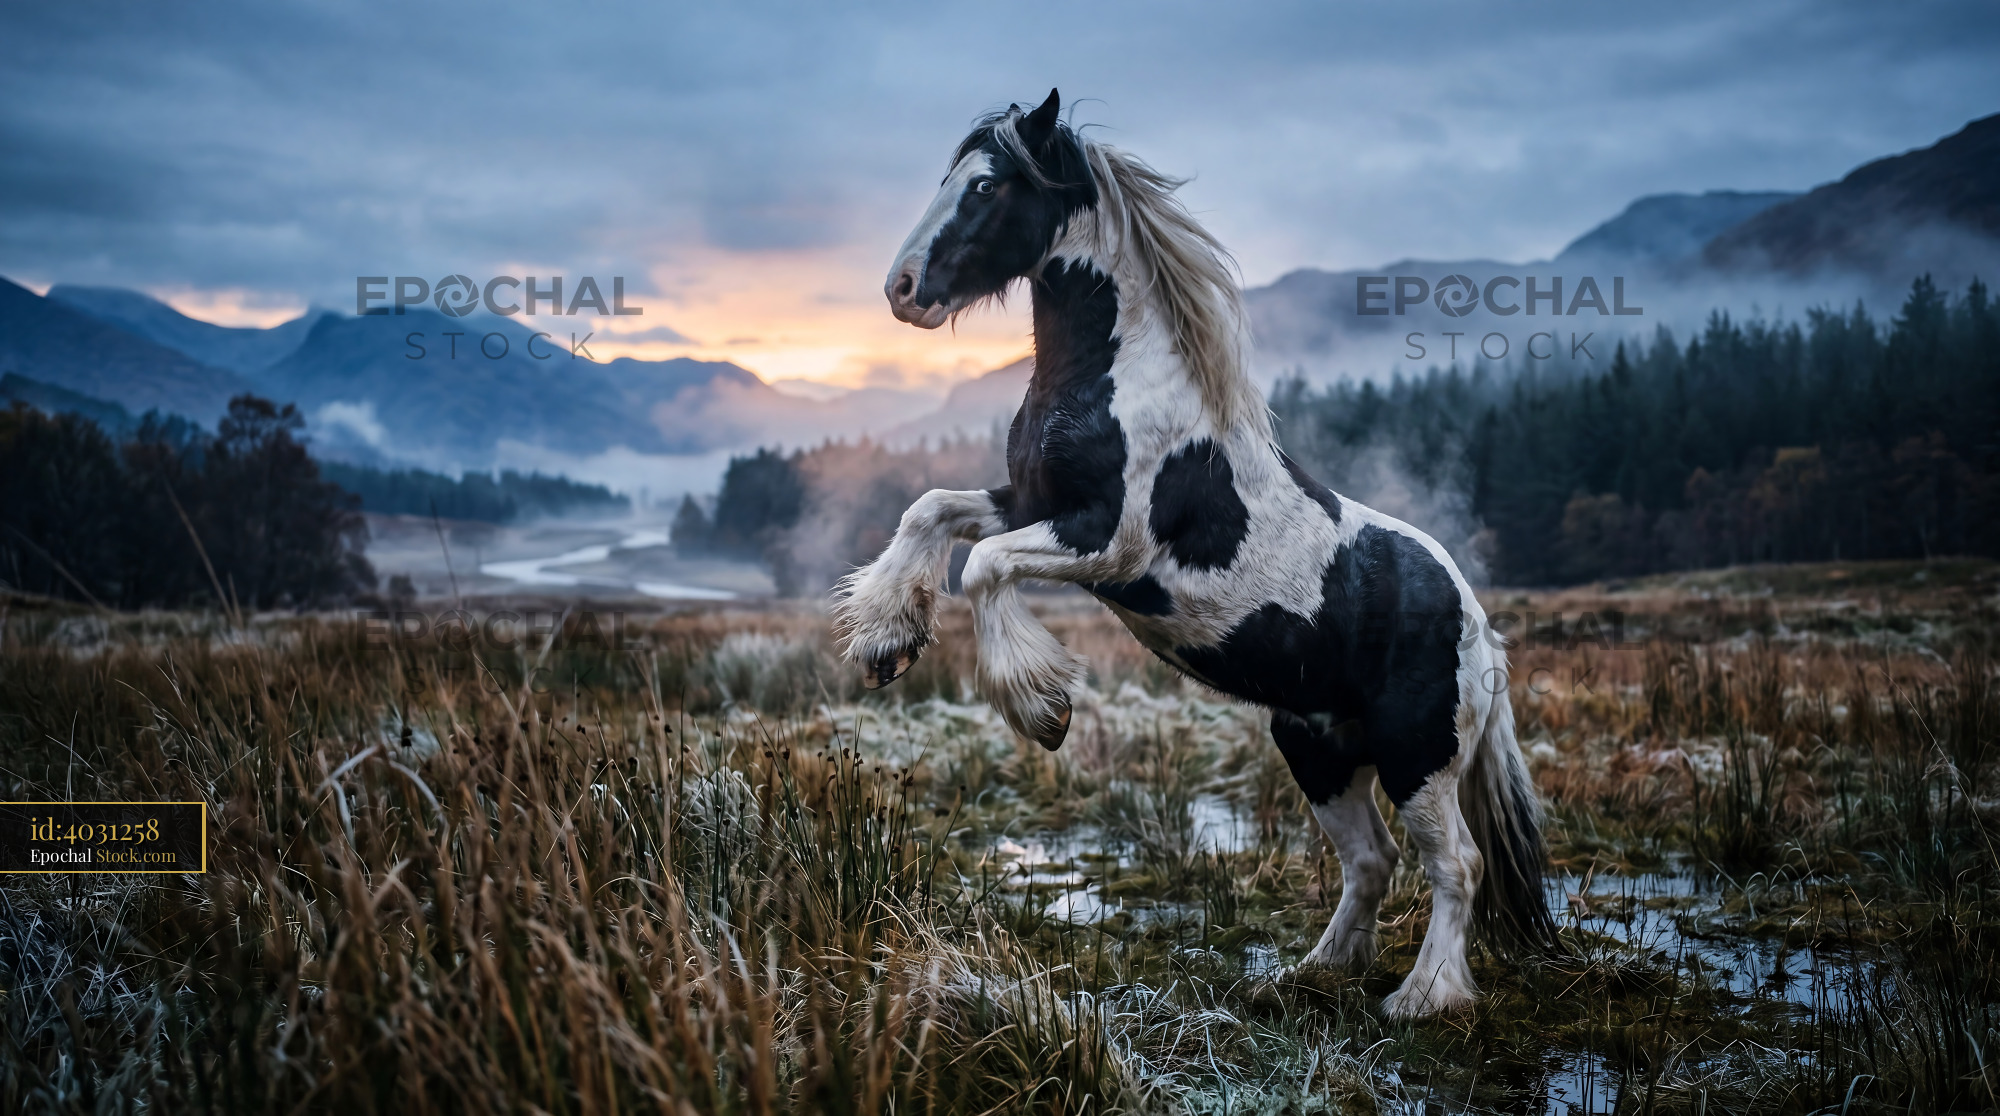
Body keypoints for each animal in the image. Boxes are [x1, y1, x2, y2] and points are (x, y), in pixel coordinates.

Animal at [831, 89, 1560, 1018]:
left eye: (988, 185)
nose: (902, 289)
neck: (1115, 380)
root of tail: (1480, 629)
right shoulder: (1031, 504)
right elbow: (930, 512)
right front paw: (886, 640)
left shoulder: (1108, 543)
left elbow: (986, 565)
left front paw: (1042, 710)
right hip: (1319, 750)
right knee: (1372, 861)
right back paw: (1312, 973)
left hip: (1415, 755)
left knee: (1454, 864)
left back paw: (1420, 998)